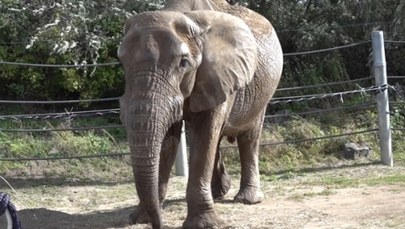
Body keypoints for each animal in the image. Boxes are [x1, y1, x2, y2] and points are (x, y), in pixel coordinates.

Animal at [117, 0, 280, 228]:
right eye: (122, 62)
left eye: (184, 62)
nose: (158, 224)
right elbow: (169, 139)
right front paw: (141, 218)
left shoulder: (219, 75)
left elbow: (204, 135)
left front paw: (204, 223)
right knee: (218, 139)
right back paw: (218, 193)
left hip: (263, 94)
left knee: (248, 138)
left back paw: (247, 199)